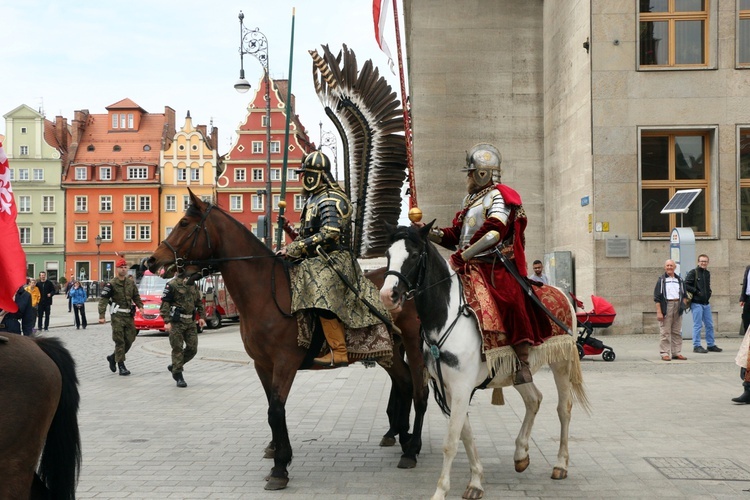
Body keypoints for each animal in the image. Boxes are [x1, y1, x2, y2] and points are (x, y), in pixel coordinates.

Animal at [145, 190, 428, 488]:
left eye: (185, 224)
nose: (151, 260)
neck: (265, 292)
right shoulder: (262, 364)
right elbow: (271, 408)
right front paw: (277, 450)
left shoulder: (285, 362)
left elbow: (276, 410)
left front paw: (280, 466)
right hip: (390, 351)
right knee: (405, 383)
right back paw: (402, 436)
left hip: (412, 345)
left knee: (420, 390)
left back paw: (411, 448)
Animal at [382, 226, 592, 500]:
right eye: (387, 254)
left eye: (415, 255)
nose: (388, 295)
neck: (446, 317)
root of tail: (562, 293)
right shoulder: (450, 390)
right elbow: (466, 435)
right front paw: (475, 482)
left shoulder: (461, 388)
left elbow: (451, 442)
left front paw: (440, 490)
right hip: (516, 370)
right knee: (533, 399)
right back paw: (521, 455)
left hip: (561, 363)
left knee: (563, 408)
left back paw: (560, 465)